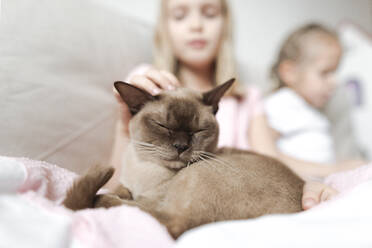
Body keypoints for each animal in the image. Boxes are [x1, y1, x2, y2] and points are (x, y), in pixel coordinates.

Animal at [63, 79, 302, 238]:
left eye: (198, 130)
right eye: (163, 126)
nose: (181, 146)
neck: (144, 169)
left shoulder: (153, 197)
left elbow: (132, 201)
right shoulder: (127, 185)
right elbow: (121, 189)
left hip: (196, 176)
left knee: (170, 222)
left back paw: (99, 200)